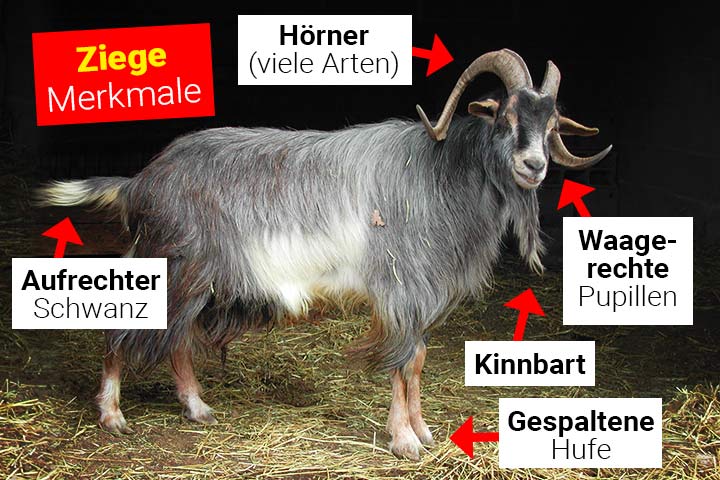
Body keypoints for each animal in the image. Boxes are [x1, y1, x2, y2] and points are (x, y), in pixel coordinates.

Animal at [39, 49, 610, 460]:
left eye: (552, 124)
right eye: (507, 117)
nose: (534, 166)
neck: (439, 172)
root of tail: (141, 181)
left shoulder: (422, 296)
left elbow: (417, 360)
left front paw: (423, 432)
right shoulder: (400, 290)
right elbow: (401, 362)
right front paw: (404, 441)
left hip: (199, 277)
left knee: (177, 340)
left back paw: (198, 408)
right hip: (173, 264)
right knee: (124, 329)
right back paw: (112, 416)